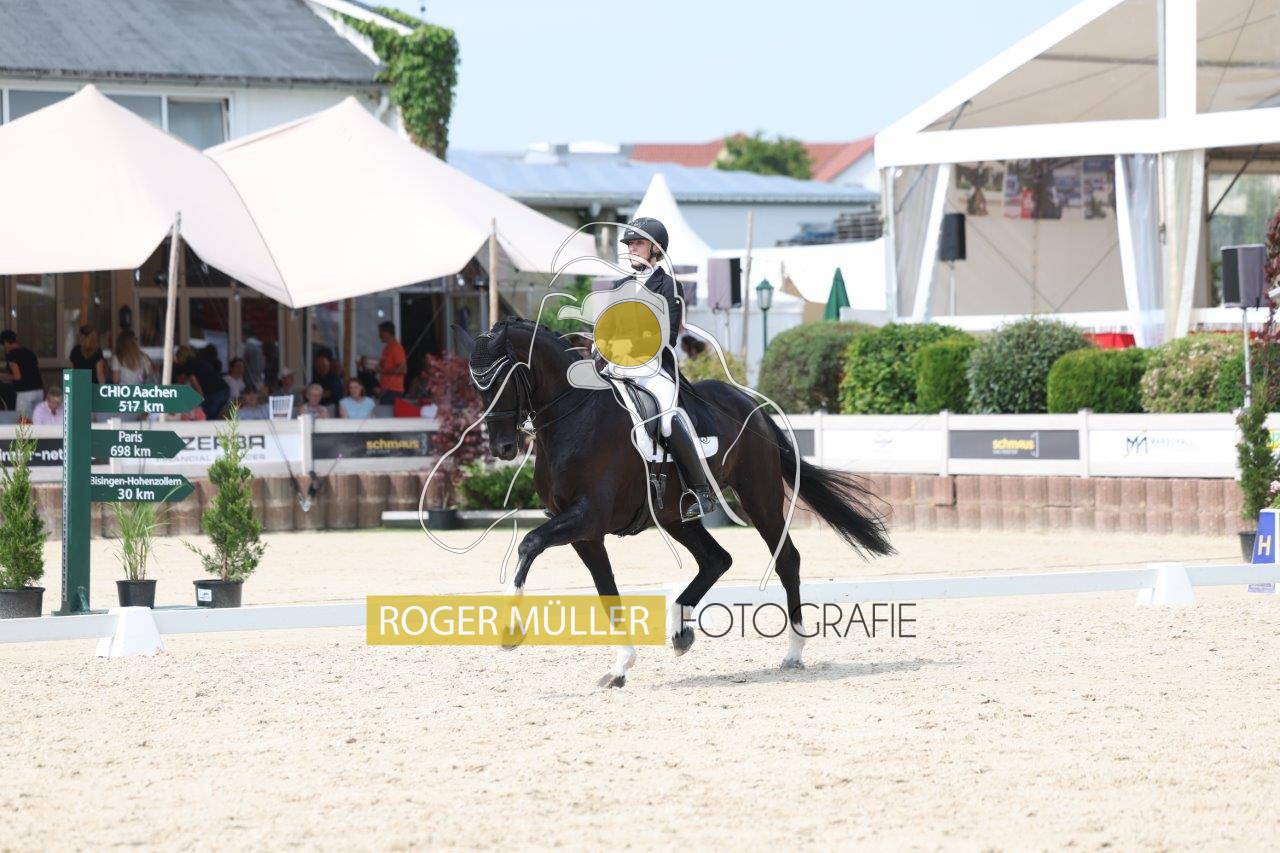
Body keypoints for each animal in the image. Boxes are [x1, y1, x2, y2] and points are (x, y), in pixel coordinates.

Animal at [455, 318, 893, 687]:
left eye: (502, 379)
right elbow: (607, 591)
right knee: (717, 560)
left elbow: (529, 543)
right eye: (476, 384)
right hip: (675, 516)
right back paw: (681, 632)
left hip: (759, 498)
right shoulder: (584, 532)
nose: (503, 448)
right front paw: (620, 667)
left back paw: (794, 652)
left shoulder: (587, 517)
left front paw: (509, 633)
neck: (573, 416)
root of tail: (750, 404)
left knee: (786, 560)